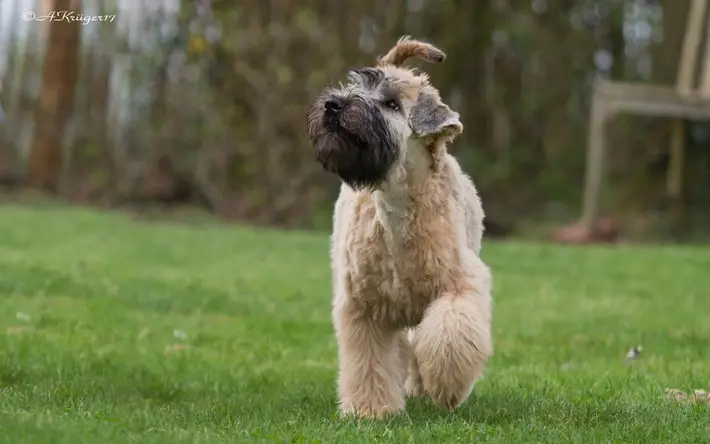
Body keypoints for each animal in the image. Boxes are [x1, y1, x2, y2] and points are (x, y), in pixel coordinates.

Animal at [306, 35, 496, 420]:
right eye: (355, 85)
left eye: (392, 103)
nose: (333, 105)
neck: (399, 210)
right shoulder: (363, 307)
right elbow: (368, 361)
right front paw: (370, 409)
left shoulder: (461, 285)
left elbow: (449, 334)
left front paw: (446, 387)